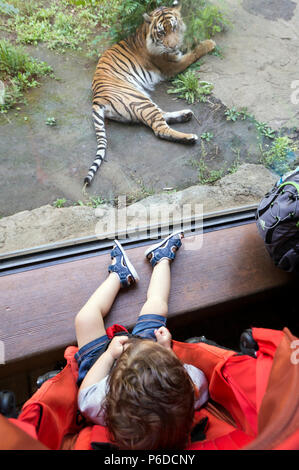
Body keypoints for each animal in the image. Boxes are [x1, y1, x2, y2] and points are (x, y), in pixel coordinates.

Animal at [84, 0, 216, 186]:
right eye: (161, 32)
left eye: (173, 28)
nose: (173, 46)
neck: (145, 32)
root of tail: (97, 99)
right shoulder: (173, 65)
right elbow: (194, 53)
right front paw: (209, 43)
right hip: (139, 99)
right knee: (159, 129)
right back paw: (189, 137)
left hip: (143, 99)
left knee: (161, 116)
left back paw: (185, 115)